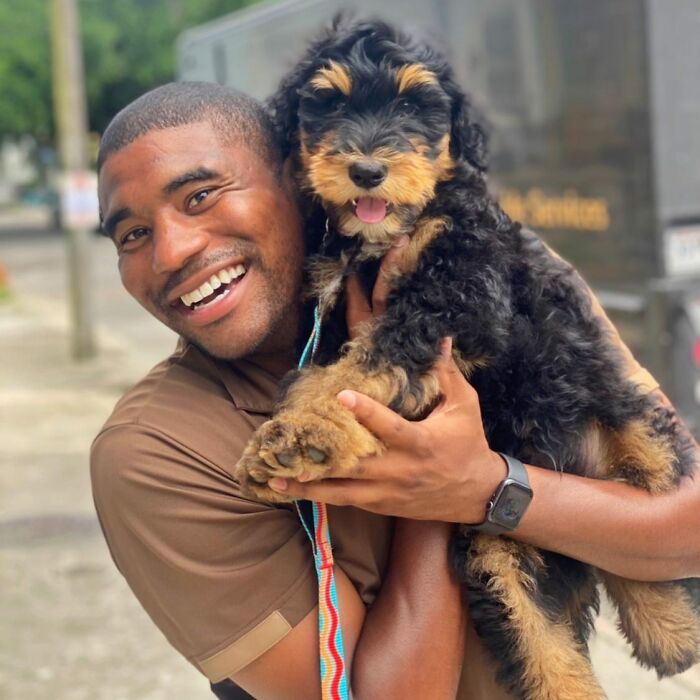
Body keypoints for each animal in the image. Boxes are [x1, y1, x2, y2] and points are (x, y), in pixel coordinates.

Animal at [235, 16, 700, 700]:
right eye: (330, 104)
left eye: (413, 106)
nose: (366, 171)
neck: (383, 237)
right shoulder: (329, 305)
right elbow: (323, 370)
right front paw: (280, 441)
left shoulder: (462, 292)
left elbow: (372, 358)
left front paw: (305, 432)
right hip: (498, 557)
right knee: (546, 650)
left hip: (625, 408)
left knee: (651, 504)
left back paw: (667, 622)